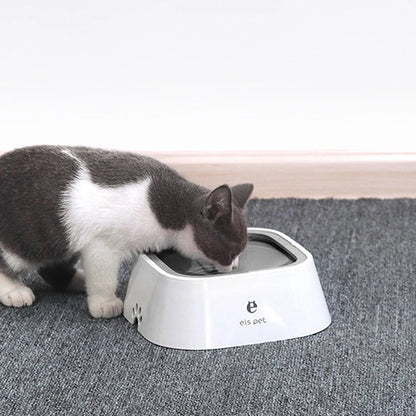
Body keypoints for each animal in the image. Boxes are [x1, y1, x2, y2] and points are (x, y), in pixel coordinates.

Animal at [0, 146, 254, 318]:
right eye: (232, 252)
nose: (234, 267)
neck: (167, 208)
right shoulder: (101, 243)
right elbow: (103, 276)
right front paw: (104, 303)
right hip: (29, 235)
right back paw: (15, 291)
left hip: (63, 238)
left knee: (53, 268)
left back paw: (80, 280)